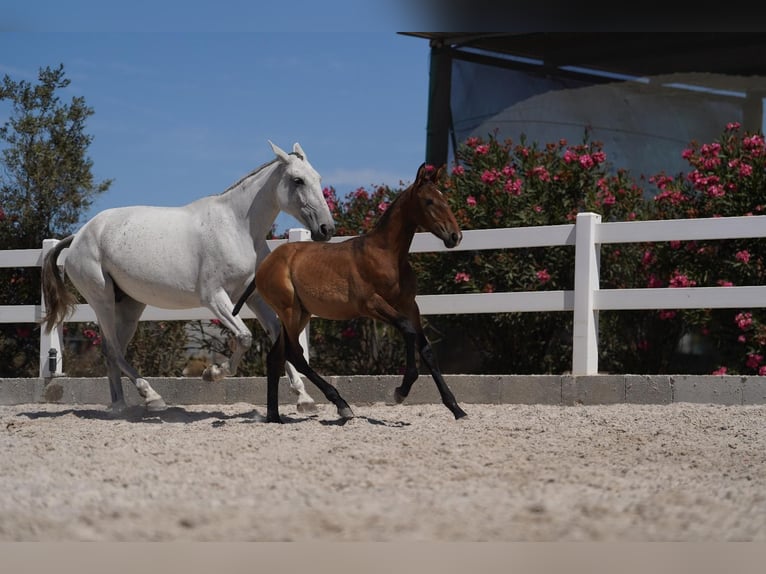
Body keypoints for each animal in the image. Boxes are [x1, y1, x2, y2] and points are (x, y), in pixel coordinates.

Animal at [42, 142, 334, 416]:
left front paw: (304, 399)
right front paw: (212, 373)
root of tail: (78, 236)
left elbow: (277, 336)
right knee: (113, 350)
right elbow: (244, 336)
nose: (326, 229)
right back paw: (151, 396)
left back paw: (122, 406)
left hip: (128, 307)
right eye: (297, 180)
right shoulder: (214, 298)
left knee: (113, 352)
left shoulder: (252, 297)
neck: (237, 227)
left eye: (318, 178)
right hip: (101, 300)